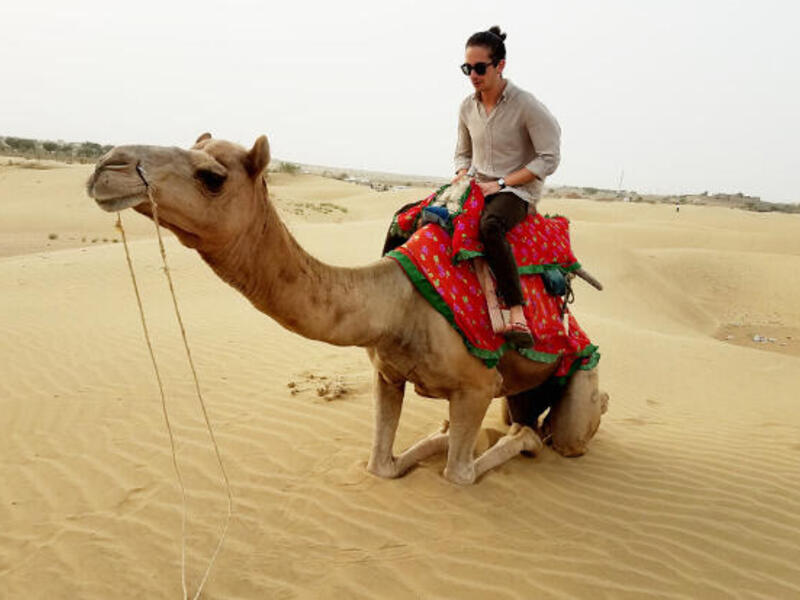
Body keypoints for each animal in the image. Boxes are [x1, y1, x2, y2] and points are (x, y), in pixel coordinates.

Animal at [87, 133, 609, 485]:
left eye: (212, 177)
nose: (106, 166)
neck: (397, 305)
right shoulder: (388, 373)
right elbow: (382, 464)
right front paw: (442, 434)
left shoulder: (479, 385)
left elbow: (458, 472)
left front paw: (514, 441)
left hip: (575, 379)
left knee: (567, 431)